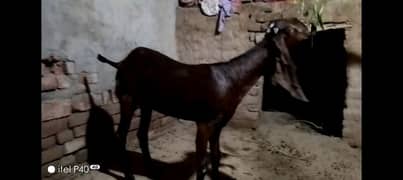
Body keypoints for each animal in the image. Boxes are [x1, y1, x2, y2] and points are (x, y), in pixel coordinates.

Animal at [98, 18, 312, 180]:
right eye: (294, 27)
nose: (311, 31)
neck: (232, 78)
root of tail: (121, 62)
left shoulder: (219, 124)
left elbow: (215, 156)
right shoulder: (204, 122)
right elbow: (201, 162)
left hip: (147, 103)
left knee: (142, 134)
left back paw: (152, 170)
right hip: (127, 97)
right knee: (121, 135)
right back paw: (129, 175)